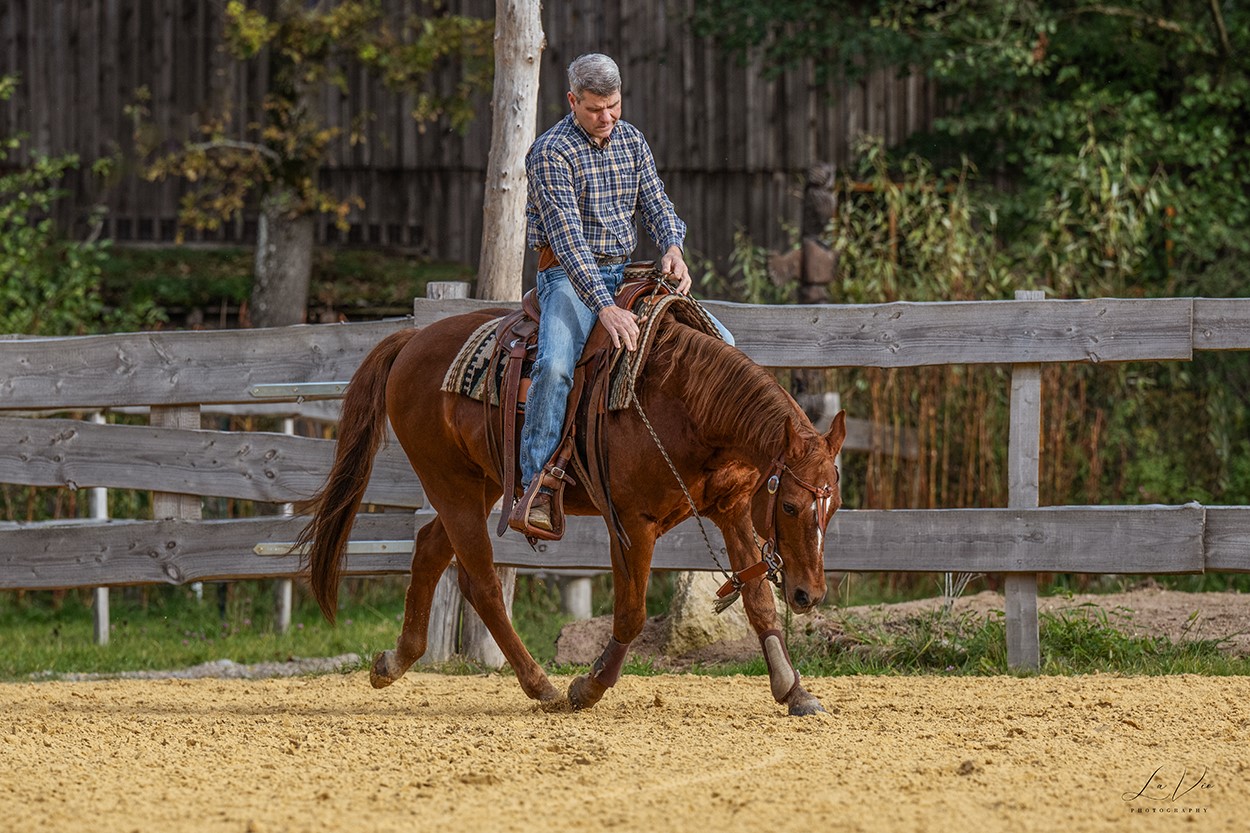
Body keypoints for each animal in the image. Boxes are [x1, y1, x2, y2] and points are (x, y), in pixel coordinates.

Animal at [301, 306, 845, 715]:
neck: (686, 402)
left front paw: (794, 691)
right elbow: (630, 614)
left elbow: (758, 603)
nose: (810, 594)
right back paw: (540, 684)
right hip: (450, 485)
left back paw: (395, 661)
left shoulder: (732, 510)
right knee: (483, 584)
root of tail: (413, 340)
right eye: (790, 505)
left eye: (833, 506)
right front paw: (589, 686)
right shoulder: (631, 524)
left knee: (431, 549)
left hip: (483, 483)